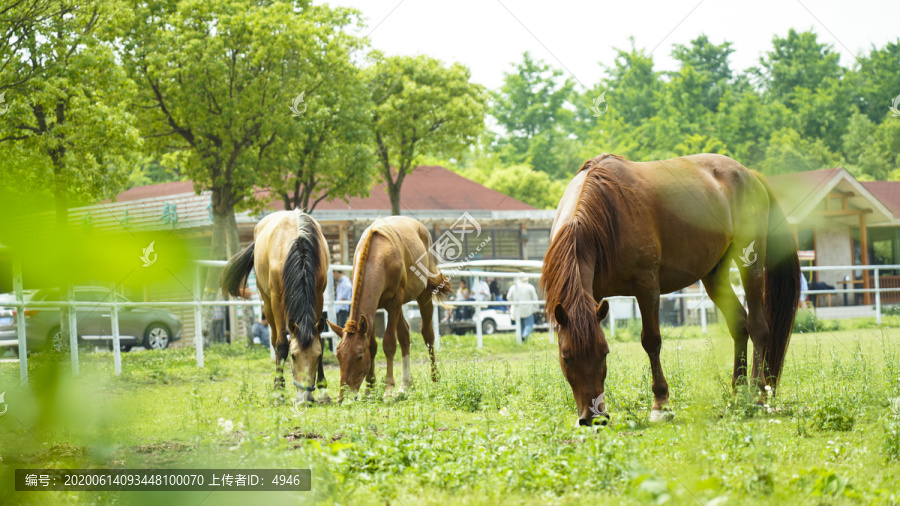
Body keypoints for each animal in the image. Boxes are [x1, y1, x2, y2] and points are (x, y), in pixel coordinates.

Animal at [221, 209, 330, 404]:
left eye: (317, 356)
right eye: (293, 356)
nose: (305, 398)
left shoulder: (319, 295)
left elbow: (320, 339)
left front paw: (324, 390)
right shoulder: (277, 299)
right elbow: (281, 344)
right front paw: (279, 391)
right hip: (267, 303)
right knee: (274, 339)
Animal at [328, 215, 454, 402]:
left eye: (359, 357)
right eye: (338, 355)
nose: (343, 396)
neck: (378, 257)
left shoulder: (395, 301)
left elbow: (388, 343)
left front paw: (388, 389)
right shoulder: (373, 310)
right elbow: (373, 345)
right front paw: (370, 388)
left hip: (423, 295)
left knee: (428, 334)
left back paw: (434, 379)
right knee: (405, 334)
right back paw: (405, 384)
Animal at [540, 154, 800, 426]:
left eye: (604, 353)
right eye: (566, 357)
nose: (593, 419)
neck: (606, 213)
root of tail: (749, 174)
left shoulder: (647, 286)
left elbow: (651, 341)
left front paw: (661, 404)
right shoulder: (593, 296)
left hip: (751, 262)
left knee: (758, 327)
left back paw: (758, 396)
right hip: (714, 275)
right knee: (739, 324)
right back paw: (738, 394)